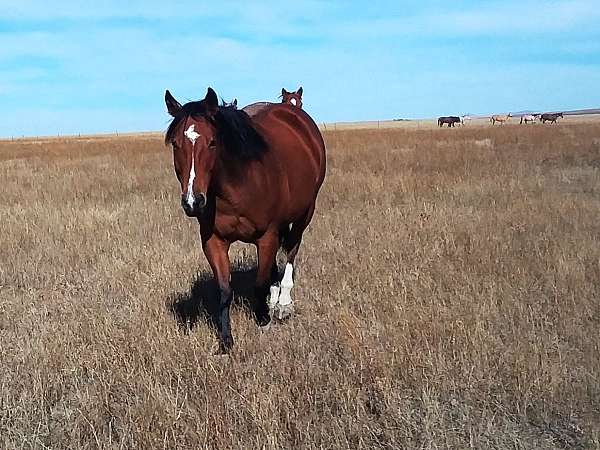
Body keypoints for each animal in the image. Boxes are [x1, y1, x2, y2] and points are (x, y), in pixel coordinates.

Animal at [164, 88, 326, 354]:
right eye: (176, 144)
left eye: (212, 142)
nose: (193, 202)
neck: (238, 185)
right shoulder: (213, 241)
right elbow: (224, 290)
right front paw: (225, 341)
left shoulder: (267, 236)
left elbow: (259, 283)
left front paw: (264, 319)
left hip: (306, 211)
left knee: (292, 249)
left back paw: (283, 302)